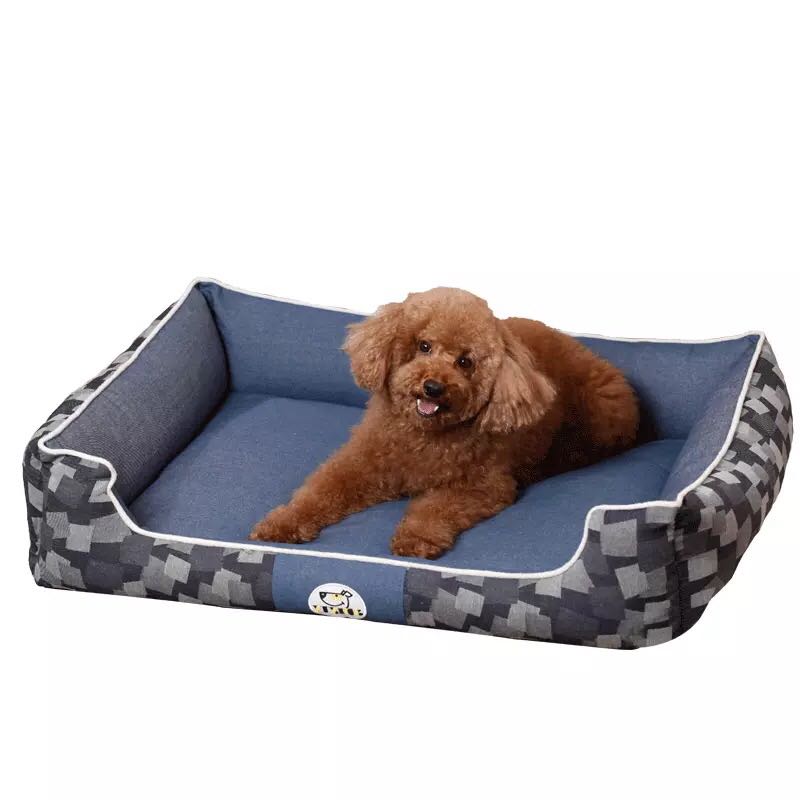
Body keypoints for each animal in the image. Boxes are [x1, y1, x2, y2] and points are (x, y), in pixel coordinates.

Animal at [250, 287, 639, 559]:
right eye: (424, 346)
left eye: (465, 362)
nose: (433, 386)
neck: (423, 437)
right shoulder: (362, 461)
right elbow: (319, 491)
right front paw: (282, 523)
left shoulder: (482, 486)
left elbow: (435, 508)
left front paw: (415, 539)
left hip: (599, 420)